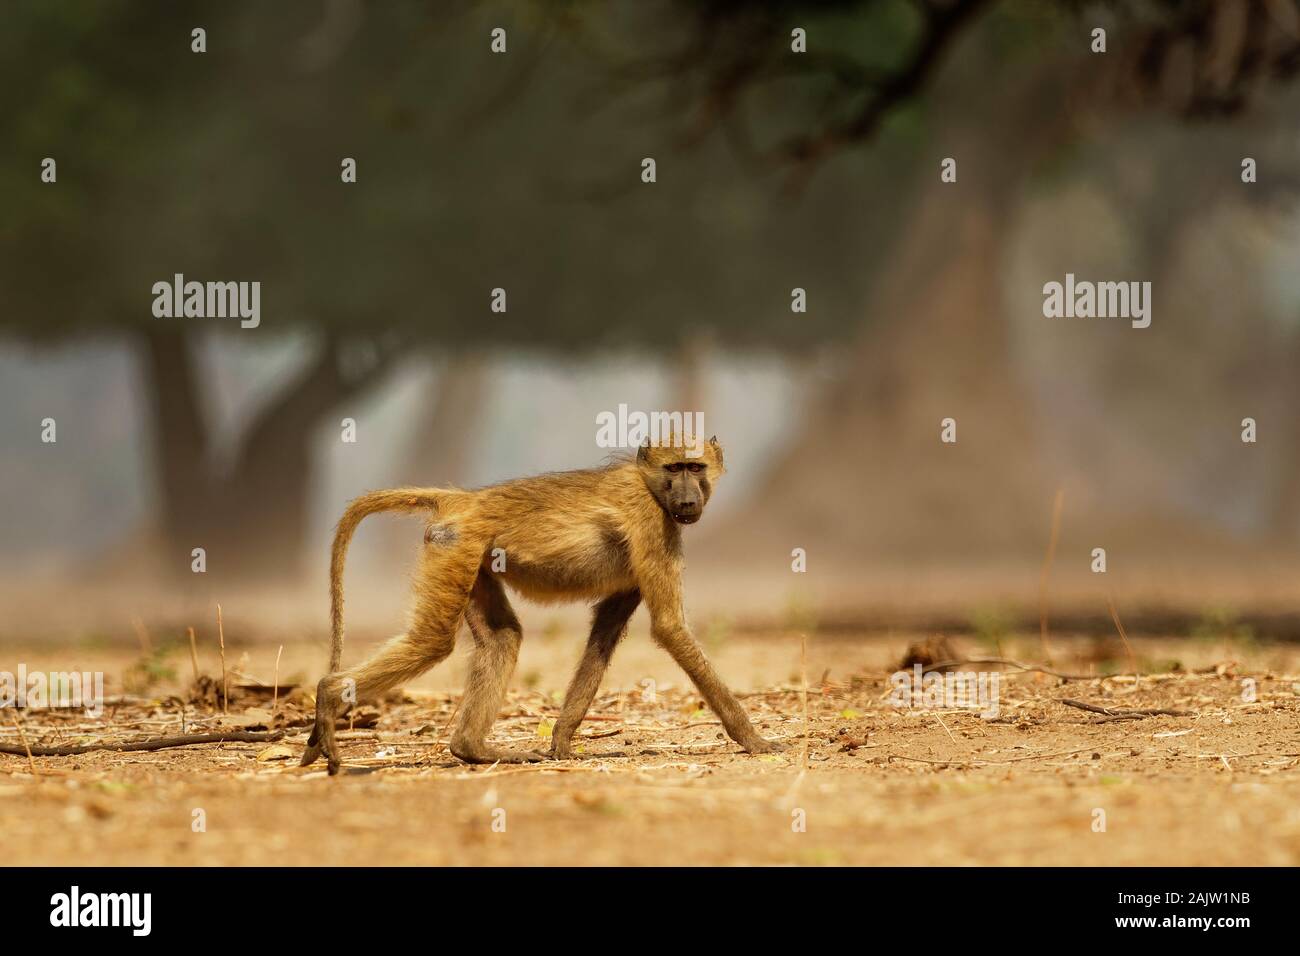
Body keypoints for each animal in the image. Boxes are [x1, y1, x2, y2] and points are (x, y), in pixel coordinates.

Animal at [300, 436, 785, 774]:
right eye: (675, 467)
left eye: (695, 467)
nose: (687, 499)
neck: (650, 485)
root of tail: (464, 499)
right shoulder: (652, 524)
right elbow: (669, 627)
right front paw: (754, 741)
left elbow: (604, 633)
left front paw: (562, 743)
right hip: (454, 545)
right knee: (432, 641)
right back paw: (328, 694)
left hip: (469, 557)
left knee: (502, 639)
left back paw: (473, 750)